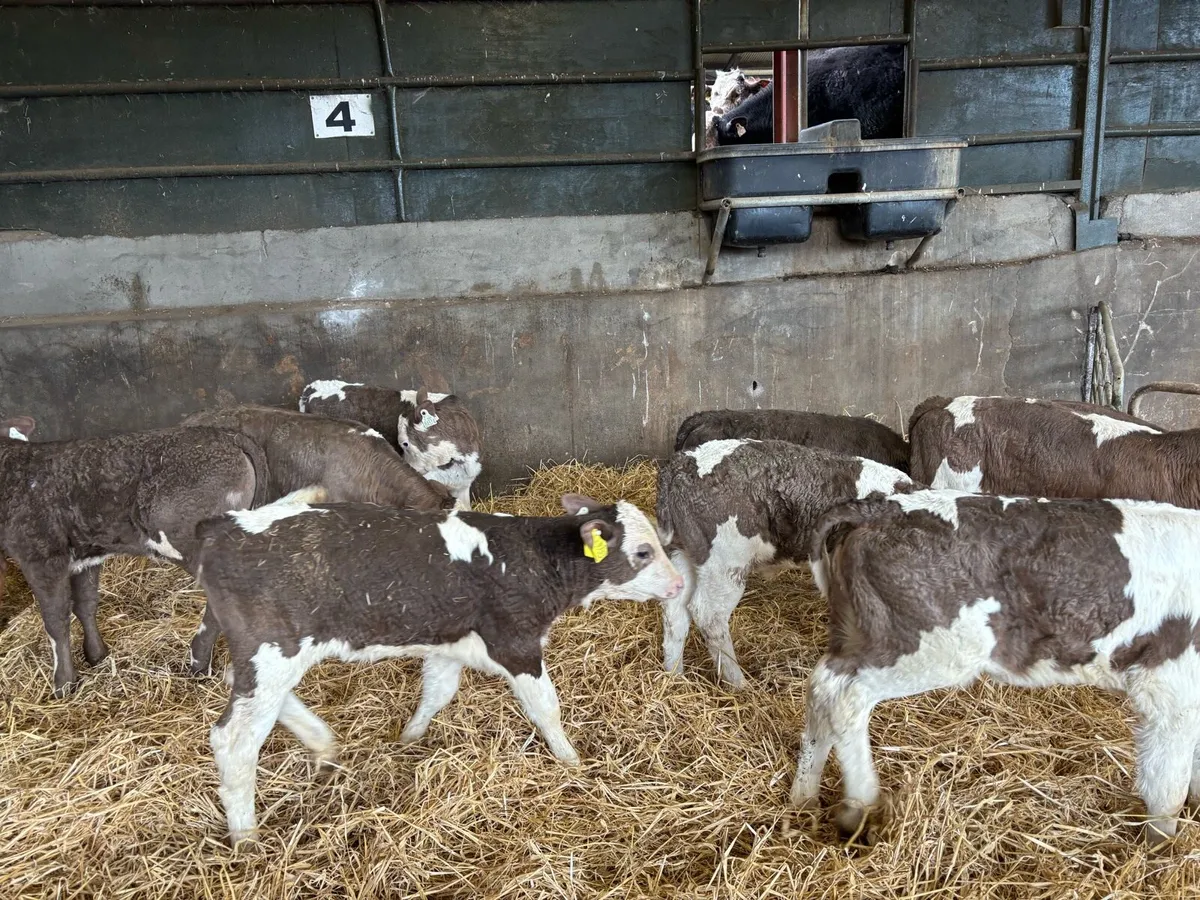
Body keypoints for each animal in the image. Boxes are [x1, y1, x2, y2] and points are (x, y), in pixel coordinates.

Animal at [192, 492, 684, 844]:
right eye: (643, 552)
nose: (679, 585)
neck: (533, 560)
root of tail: (224, 526)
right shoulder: (516, 644)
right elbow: (547, 708)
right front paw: (571, 761)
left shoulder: (451, 643)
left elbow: (437, 693)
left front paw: (409, 739)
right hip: (272, 651)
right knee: (234, 738)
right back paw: (246, 837)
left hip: (264, 657)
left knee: (236, 681)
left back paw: (322, 743)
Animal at [656, 438, 914, 688]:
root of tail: (682, 462)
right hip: (726, 560)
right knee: (709, 615)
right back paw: (738, 683)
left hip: (682, 551)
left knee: (675, 613)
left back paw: (674, 677)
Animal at [792, 489, 1200, 846]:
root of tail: (879, 508)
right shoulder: (1173, 688)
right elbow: (1168, 785)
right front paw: (1160, 847)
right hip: (923, 647)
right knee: (845, 697)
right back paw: (858, 807)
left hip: (858, 633)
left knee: (822, 689)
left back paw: (804, 798)